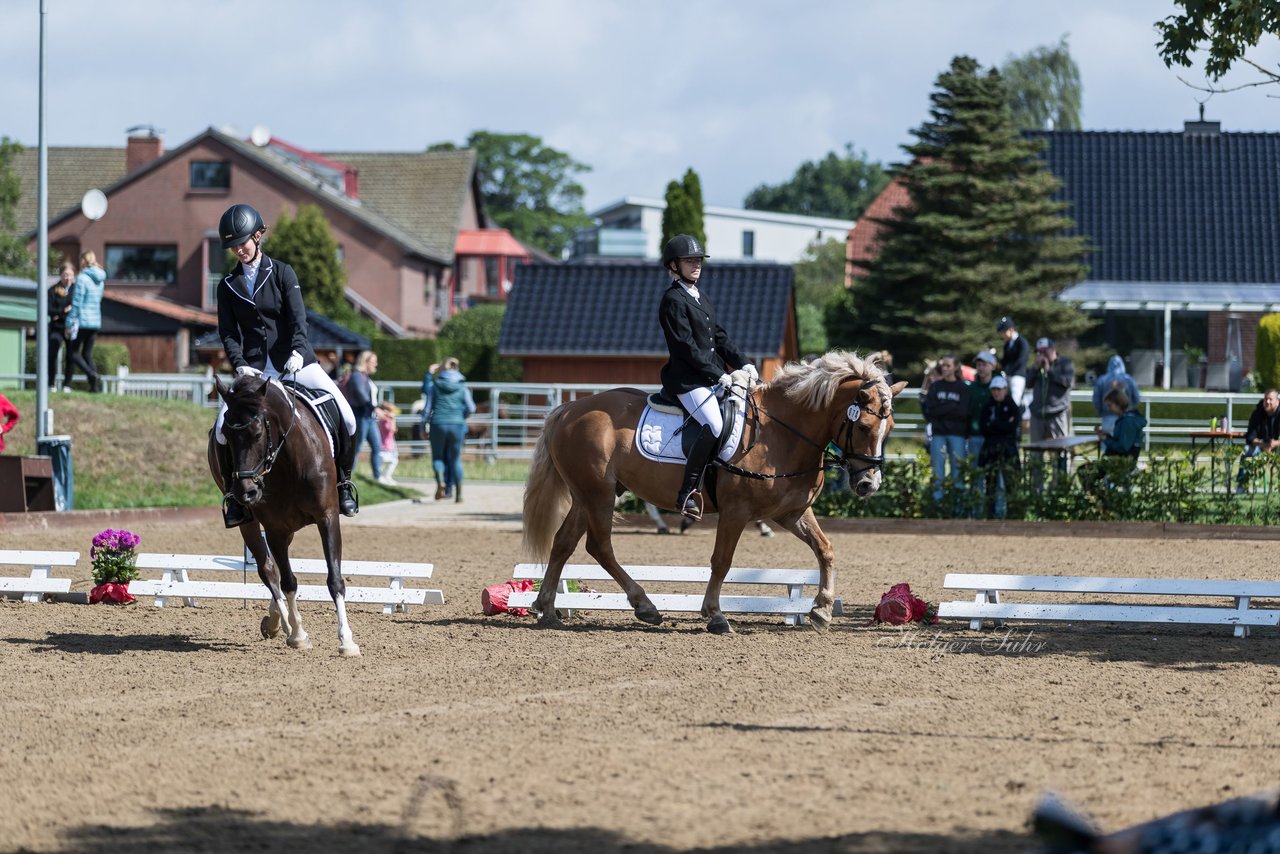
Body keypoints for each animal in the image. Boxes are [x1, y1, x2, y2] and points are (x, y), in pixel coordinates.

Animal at [208, 376, 360, 660]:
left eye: (257, 434)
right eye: (228, 438)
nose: (246, 492)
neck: (288, 461)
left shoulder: (327, 517)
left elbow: (335, 580)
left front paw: (347, 641)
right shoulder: (275, 528)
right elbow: (288, 581)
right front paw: (298, 635)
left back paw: (276, 619)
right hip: (251, 524)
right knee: (268, 570)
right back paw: (284, 624)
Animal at [522, 350, 911, 637]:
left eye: (890, 427)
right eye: (863, 427)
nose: (868, 484)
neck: (781, 433)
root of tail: (568, 409)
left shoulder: (791, 512)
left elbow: (826, 550)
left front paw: (821, 610)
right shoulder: (736, 511)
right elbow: (722, 561)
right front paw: (715, 615)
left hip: (586, 495)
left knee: (564, 543)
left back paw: (547, 609)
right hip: (599, 494)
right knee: (599, 546)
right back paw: (645, 606)